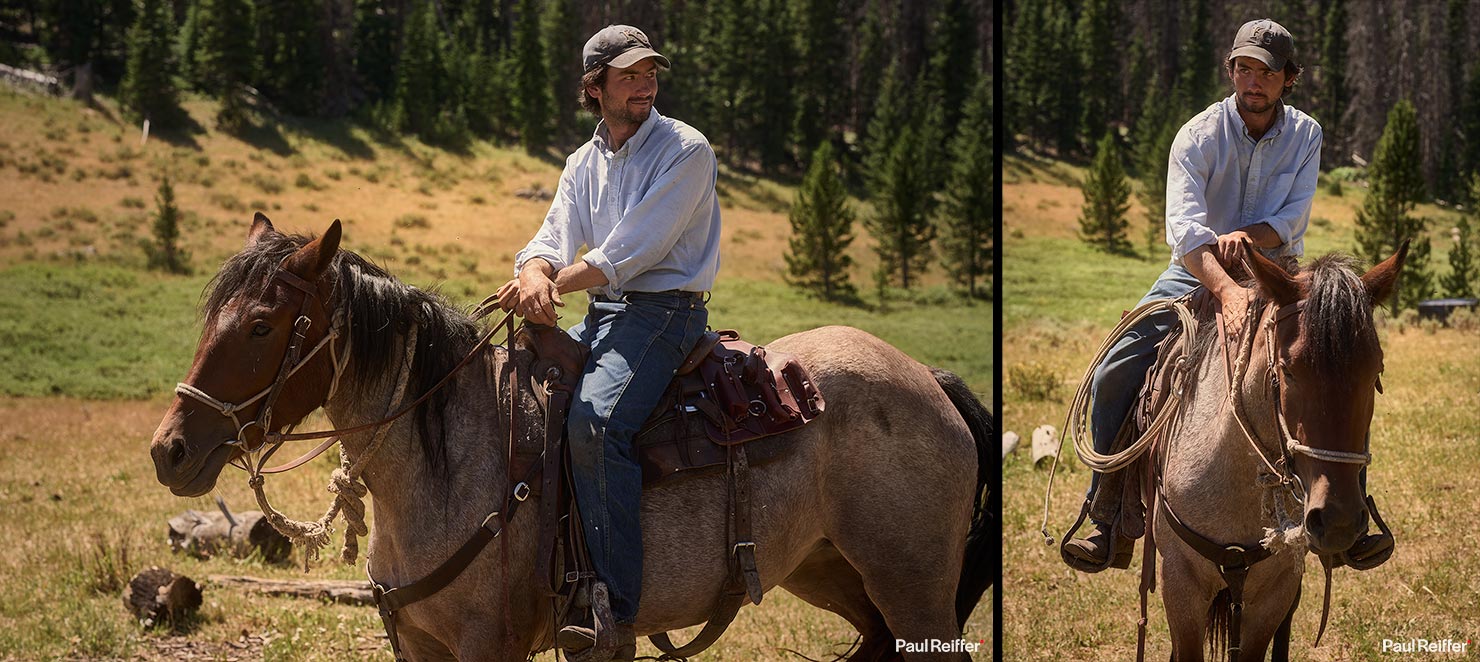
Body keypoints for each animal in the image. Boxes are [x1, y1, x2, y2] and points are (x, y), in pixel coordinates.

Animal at [147, 216, 994, 657]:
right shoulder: (418, 643)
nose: (169, 449)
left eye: (263, 325)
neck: (444, 463)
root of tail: (927, 377)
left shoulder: (487, 647)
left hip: (914, 587)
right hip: (832, 571)